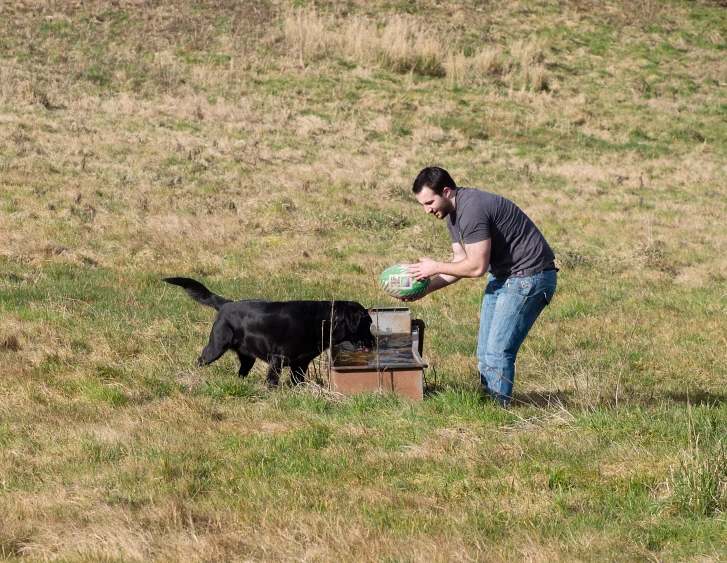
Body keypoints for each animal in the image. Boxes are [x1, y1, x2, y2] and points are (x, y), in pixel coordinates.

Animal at [164, 278, 376, 388]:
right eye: (368, 323)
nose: (374, 341)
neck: (321, 320)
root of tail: (225, 304)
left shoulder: (301, 363)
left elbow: (298, 381)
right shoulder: (278, 359)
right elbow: (272, 381)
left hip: (247, 357)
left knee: (241, 371)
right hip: (216, 346)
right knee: (200, 360)